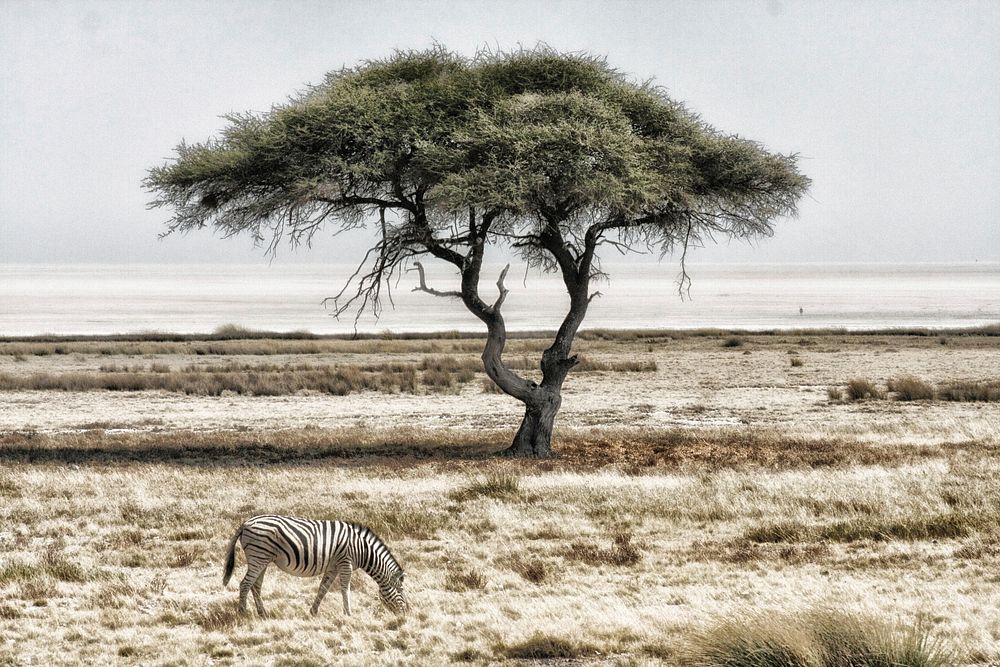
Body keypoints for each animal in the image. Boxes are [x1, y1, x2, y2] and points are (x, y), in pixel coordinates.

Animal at [225, 516, 408, 620]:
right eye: (400, 590)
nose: (407, 612)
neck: (362, 550)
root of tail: (245, 523)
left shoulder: (333, 566)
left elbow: (323, 588)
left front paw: (313, 611)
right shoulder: (345, 563)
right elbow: (345, 588)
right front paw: (348, 613)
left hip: (262, 559)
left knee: (255, 585)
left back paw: (263, 613)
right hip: (259, 556)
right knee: (245, 584)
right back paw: (243, 613)